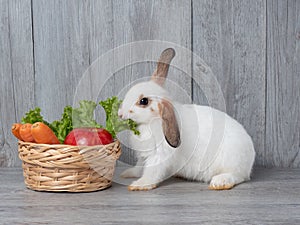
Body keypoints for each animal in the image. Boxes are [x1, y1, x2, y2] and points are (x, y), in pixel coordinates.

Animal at [118, 48, 254, 191]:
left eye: (143, 101)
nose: (120, 114)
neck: (153, 122)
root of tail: (250, 156)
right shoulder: (143, 156)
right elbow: (139, 167)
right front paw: (128, 174)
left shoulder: (159, 155)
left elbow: (152, 172)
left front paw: (139, 185)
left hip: (232, 162)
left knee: (237, 176)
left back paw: (219, 182)